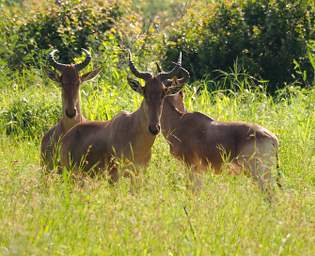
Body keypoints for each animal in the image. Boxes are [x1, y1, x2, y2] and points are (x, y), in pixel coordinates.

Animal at [59, 50, 188, 182]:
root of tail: (67, 136)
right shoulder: (114, 176)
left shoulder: (139, 174)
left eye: (163, 93)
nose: (154, 128)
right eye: (145, 92)